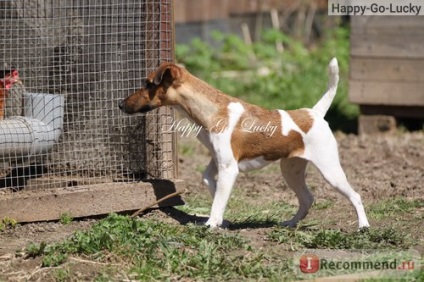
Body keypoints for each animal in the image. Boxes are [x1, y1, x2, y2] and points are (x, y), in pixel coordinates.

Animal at [119, 59, 372, 229]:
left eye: (148, 84)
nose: (120, 105)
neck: (211, 109)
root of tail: (315, 113)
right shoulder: (218, 162)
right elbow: (211, 184)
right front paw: (221, 218)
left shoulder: (229, 168)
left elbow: (218, 199)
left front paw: (212, 223)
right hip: (290, 170)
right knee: (307, 198)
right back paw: (290, 223)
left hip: (330, 171)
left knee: (356, 195)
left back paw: (363, 226)